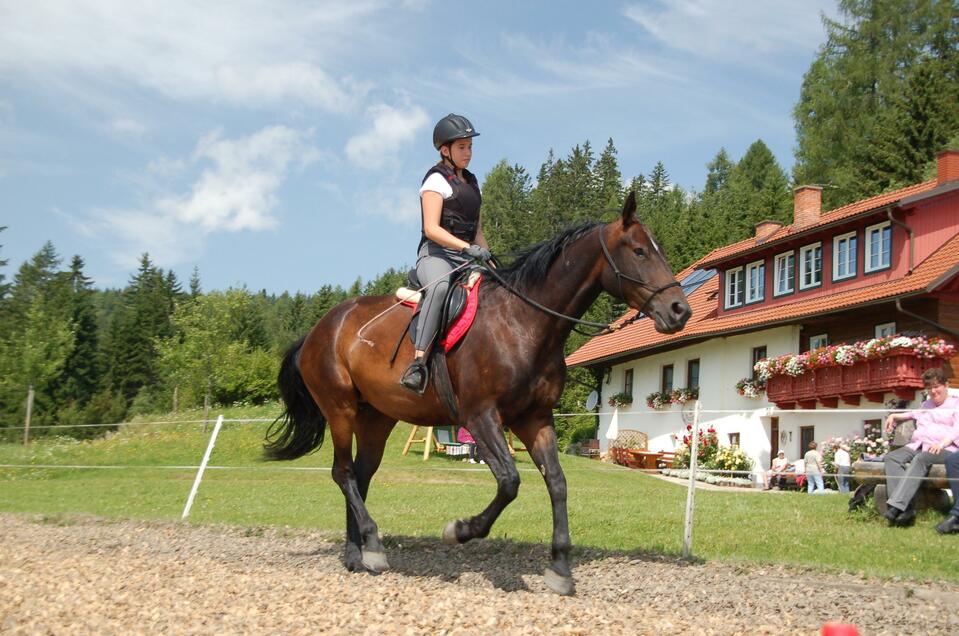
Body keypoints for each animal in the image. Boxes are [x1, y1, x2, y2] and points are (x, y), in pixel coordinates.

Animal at [266, 193, 692, 596]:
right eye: (639, 251)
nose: (679, 311)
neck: (525, 322)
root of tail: (319, 329)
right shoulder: (480, 416)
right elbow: (509, 481)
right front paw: (459, 530)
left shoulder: (534, 419)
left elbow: (556, 482)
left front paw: (560, 569)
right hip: (339, 409)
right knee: (342, 473)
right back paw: (371, 544)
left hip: (376, 418)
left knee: (359, 475)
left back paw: (358, 554)